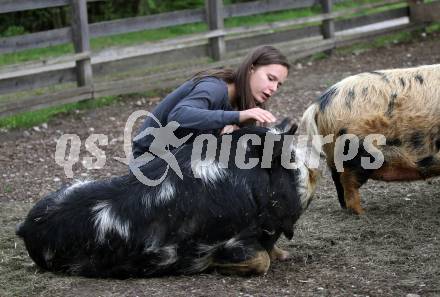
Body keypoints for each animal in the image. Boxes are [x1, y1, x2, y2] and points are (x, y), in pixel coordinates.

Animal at [17, 121, 318, 278]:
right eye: (289, 158)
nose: (314, 167)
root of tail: (25, 226)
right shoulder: (229, 241)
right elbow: (260, 261)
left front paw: (287, 255)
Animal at [300, 64, 440, 213]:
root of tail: (318, 105)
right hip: (357, 155)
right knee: (348, 182)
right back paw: (362, 213)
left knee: (338, 180)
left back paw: (347, 208)